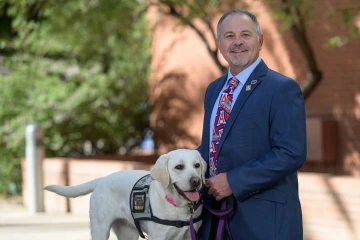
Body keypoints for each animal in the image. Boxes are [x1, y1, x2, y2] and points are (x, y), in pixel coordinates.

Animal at [44, 149, 205, 239]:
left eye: (197, 165)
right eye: (179, 167)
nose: (196, 181)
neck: (176, 206)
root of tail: (102, 179)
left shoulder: (190, 235)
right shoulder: (158, 236)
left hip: (128, 233)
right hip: (100, 229)